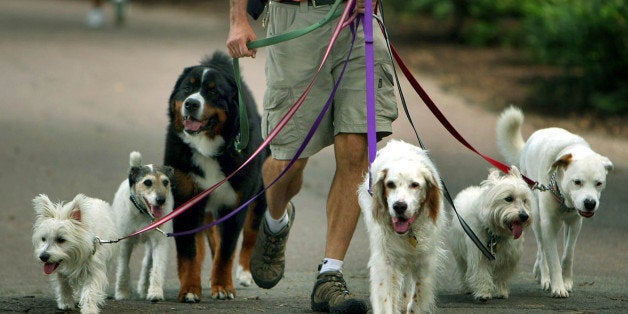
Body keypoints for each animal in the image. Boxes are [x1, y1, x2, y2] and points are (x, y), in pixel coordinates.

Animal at [112, 152, 174, 302]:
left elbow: (157, 267)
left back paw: (144, 287)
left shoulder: (159, 241)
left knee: (147, 263)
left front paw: (155, 292)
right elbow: (123, 266)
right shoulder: (126, 242)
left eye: (165, 182)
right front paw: (122, 292)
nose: (161, 200)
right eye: (147, 182)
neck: (143, 213)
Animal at [163, 51, 266, 302]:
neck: (207, 148)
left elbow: (227, 250)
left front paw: (223, 286)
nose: (191, 103)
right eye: (187, 89)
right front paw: (190, 288)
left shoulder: (235, 204)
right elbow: (190, 251)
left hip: (258, 196)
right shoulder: (186, 201)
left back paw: (245, 273)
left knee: (250, 233)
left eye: (213, 92)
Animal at [358, 140, 446, 314]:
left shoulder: (424, 261)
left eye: (415, 185)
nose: (399, 206)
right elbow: (385, 298)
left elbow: (416, 299)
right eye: (390, 184)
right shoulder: (384, 260)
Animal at [448, 167, 532, 302]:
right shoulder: (479, 252)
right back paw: (466, 287)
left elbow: (502, 275)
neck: (495, 233)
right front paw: (483, 293)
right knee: (463, 269)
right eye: (509, 198)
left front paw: (500, 292)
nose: (524, 216)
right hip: (459, 252)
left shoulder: (508, 257)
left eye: (525, 201)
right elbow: (481, 273)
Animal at [498, 106, 612, 298]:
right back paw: (544, 277)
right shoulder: (548, 224)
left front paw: (566, 282)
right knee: (542, 248)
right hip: (537, 218)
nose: (590, 203)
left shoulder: (575, 223)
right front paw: (558, 286)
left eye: (599, 183)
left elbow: (568, 255)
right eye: (577, 182)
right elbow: (553, 258)